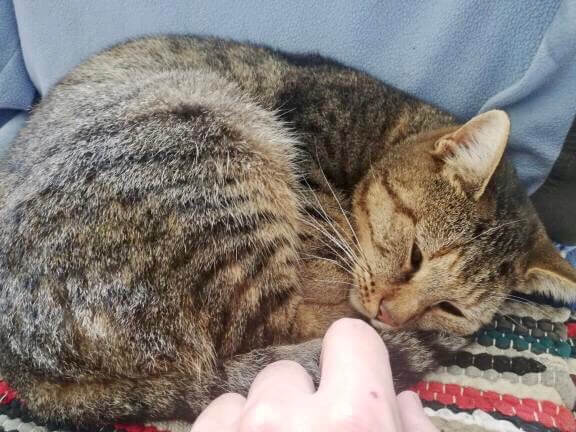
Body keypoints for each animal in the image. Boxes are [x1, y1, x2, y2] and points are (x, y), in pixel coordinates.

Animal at [1, 35, 576, 426]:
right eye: (416, 254)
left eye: (451, 306)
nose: (392, 312)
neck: (384, 130)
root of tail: (26, 371)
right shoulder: (307, 167)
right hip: (217, 146)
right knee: (286, 325)